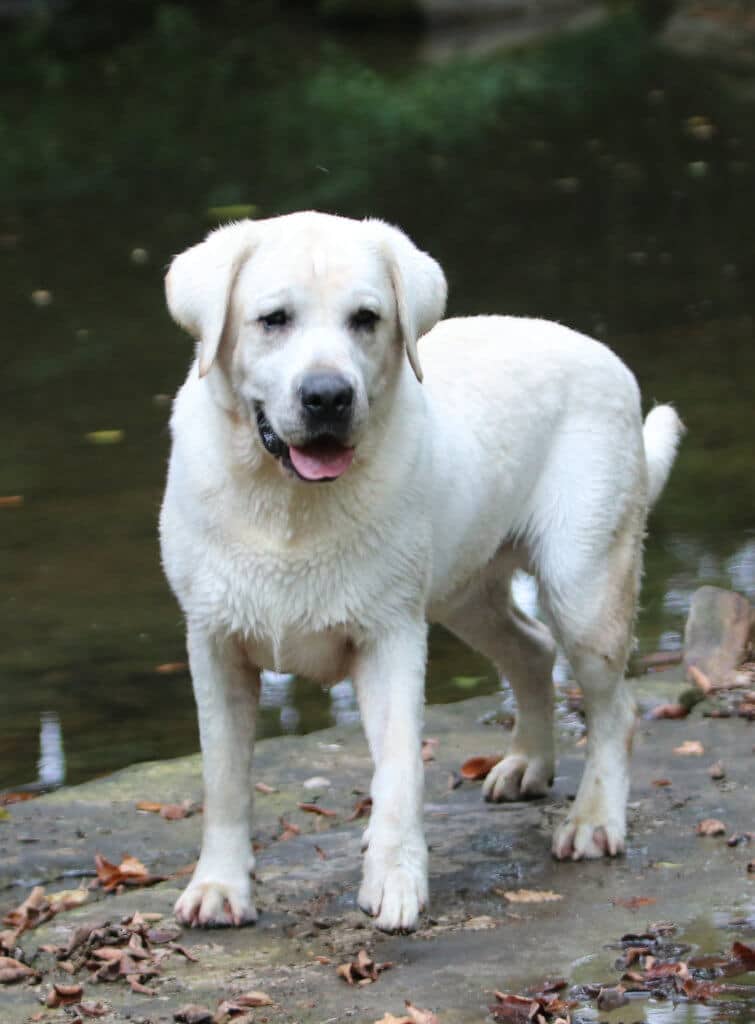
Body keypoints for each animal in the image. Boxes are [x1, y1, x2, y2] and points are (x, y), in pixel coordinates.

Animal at [160, 211, 684, 933]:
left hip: (583, 582)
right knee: (530, 650)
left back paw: (593, 819)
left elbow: (400, 768)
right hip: (465, 591)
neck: (289, 505)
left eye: (365, 318)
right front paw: (218, 886)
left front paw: (395, 880)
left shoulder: (391, 636)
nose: (328, 396)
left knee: (615, 705)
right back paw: (528, 764)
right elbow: (224, 777)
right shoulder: (213, 643)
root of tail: (601, 353)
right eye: (273, 319)